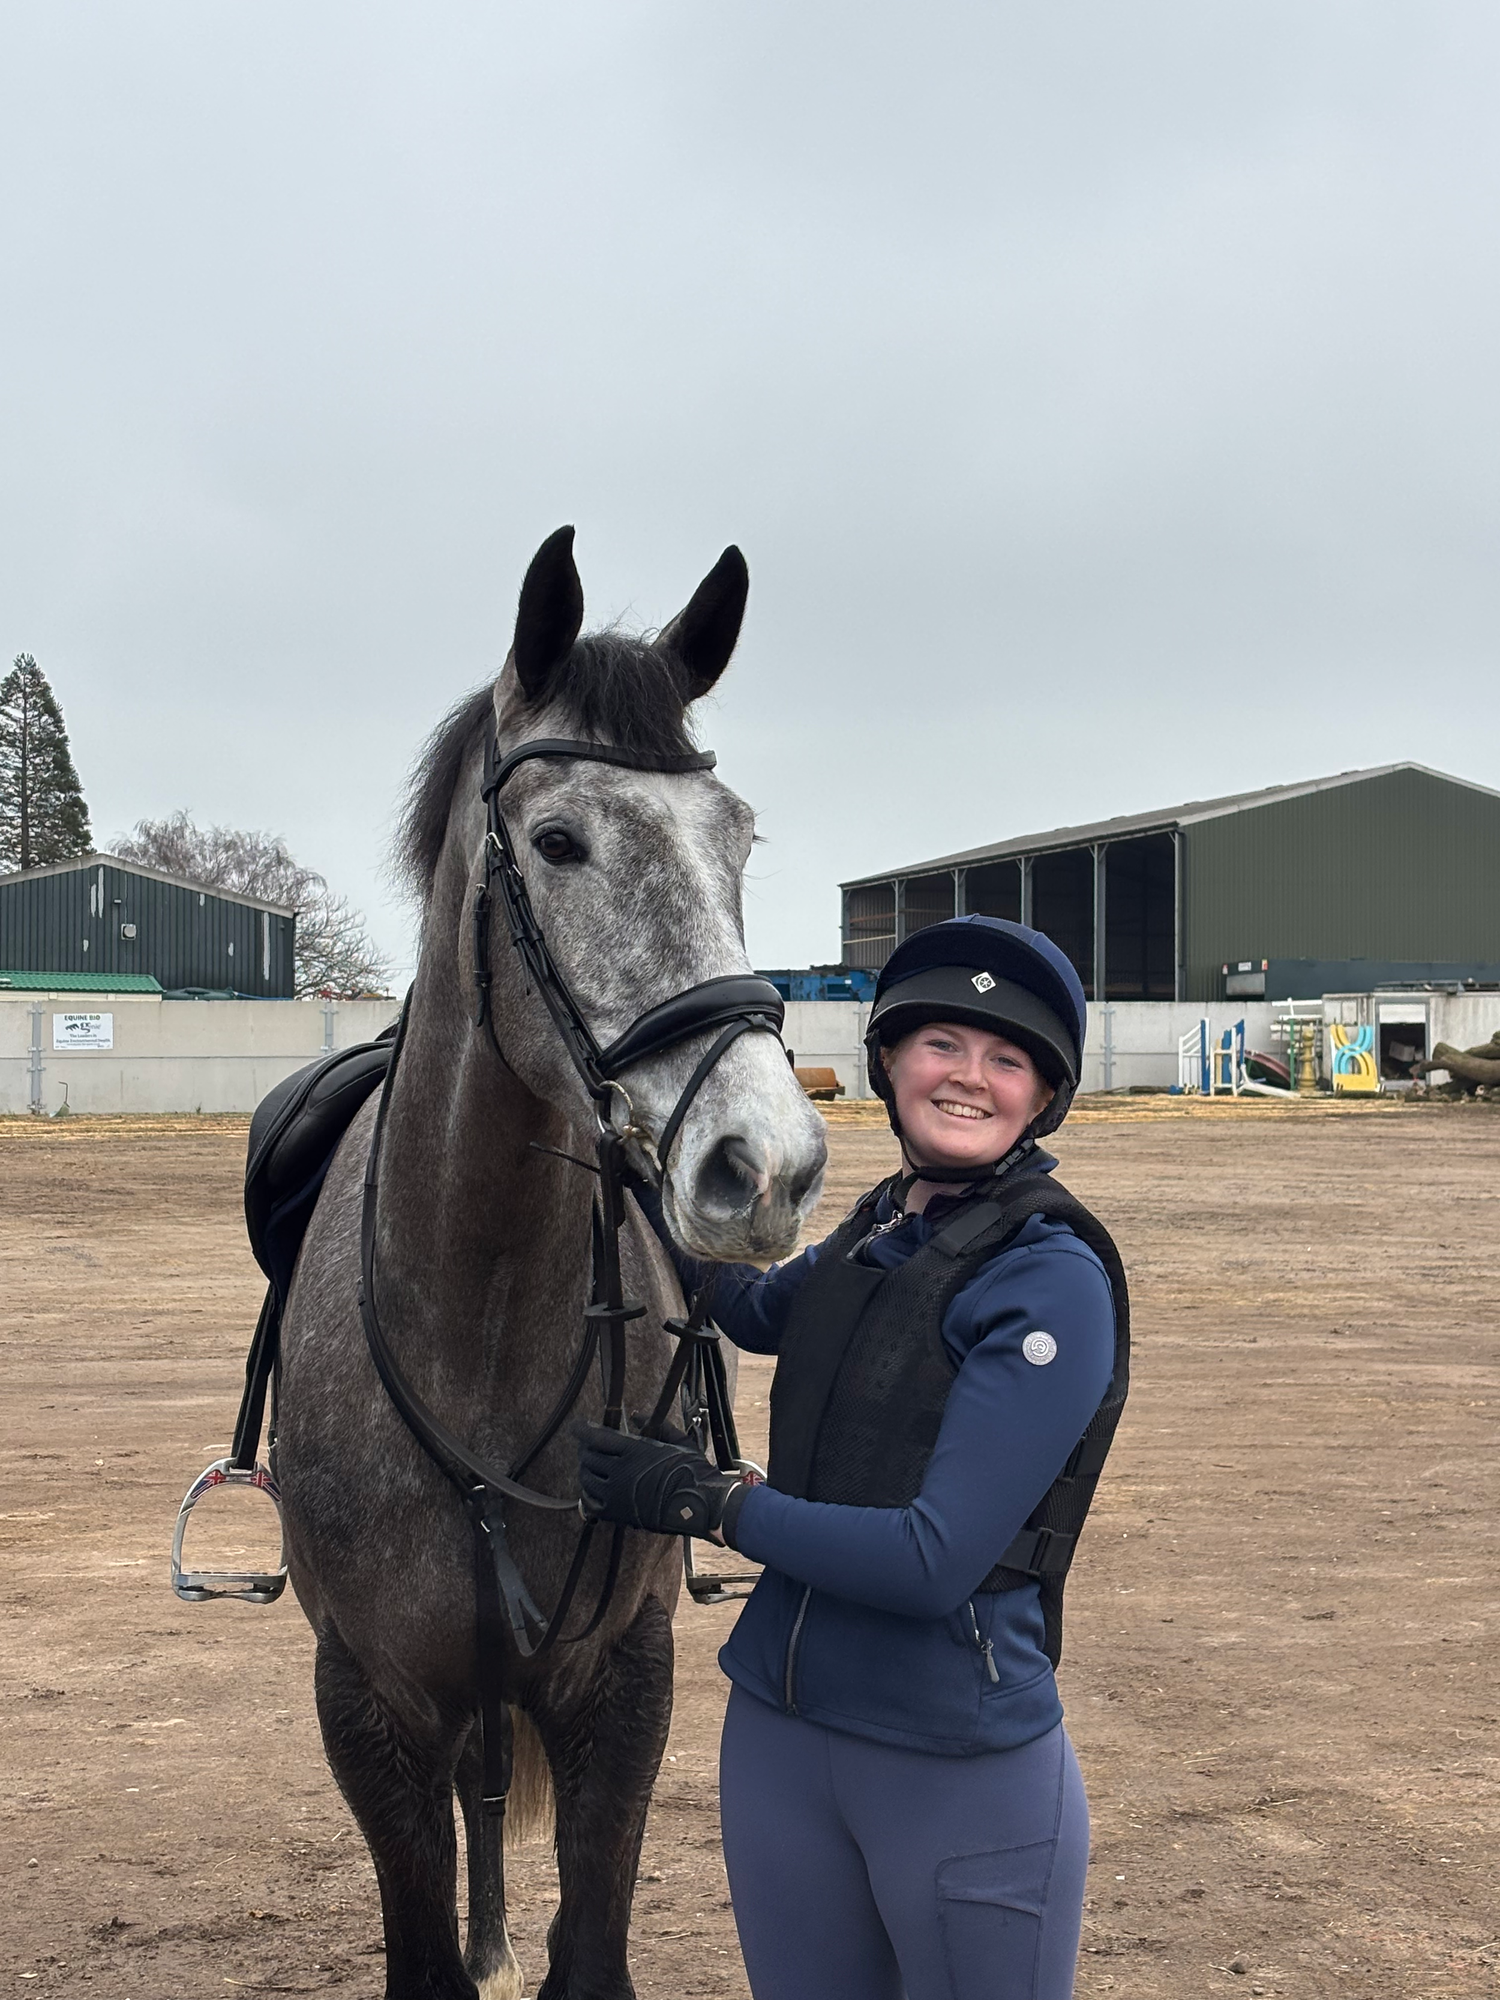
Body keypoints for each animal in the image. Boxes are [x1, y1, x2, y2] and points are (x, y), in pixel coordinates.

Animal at [273, 527, 828, 2000]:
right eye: (560, 840)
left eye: (737, 836)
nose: (768, 1163)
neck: (472, 1319)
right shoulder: (369, 1702)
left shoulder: (620, 1685)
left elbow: (594, 1948)